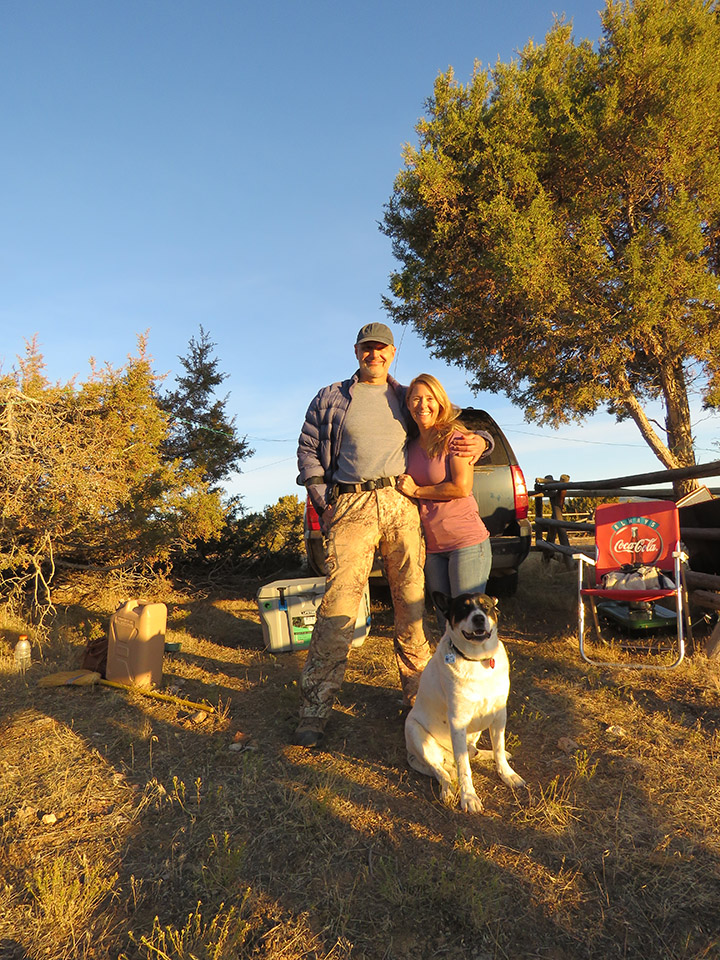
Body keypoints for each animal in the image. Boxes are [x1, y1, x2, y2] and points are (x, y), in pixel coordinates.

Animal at [405, 592, 525, 813]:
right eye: (463, 608)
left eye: (486, 607)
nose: (479, 618)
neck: (478, 660)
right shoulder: (458, 721)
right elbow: (464, 768)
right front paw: (468, 797)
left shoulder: (499, 715)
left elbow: (498, 748)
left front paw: (507, 774)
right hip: (415, 732)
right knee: (441, 771)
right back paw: (447, 790)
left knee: (473, 752)